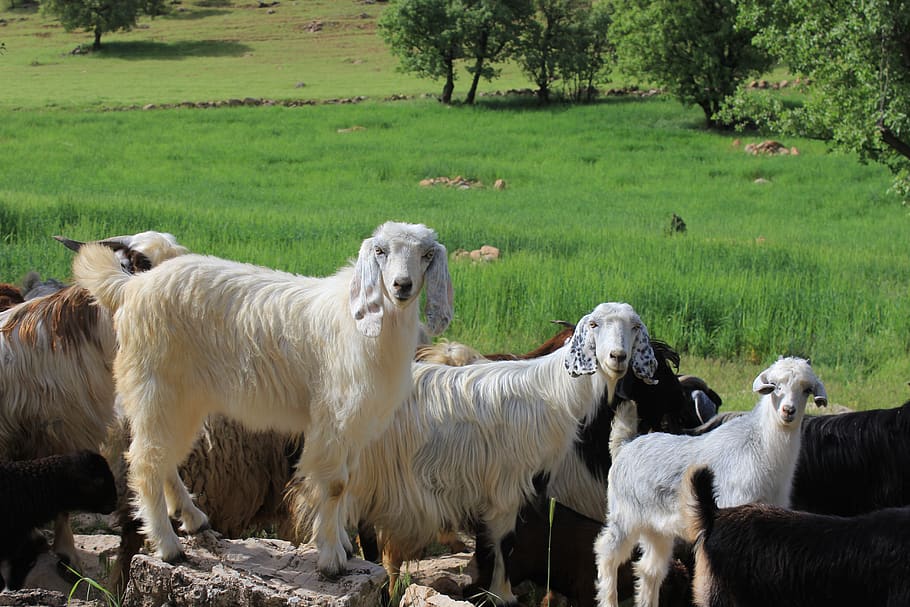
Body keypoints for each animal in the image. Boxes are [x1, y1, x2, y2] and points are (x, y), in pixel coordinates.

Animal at [72, 221, 453, 576]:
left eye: (426, 254)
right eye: (380, 251)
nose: (402, 285)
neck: (363, 324)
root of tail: (132, 287)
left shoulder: (357, 426)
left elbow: (348, 484)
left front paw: (343, 544)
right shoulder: (335, 417)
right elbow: (334, 485)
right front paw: (331, 559)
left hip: (185, 400)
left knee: (164, 458)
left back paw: (193, 517)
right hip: (156, 389)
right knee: (146, 461)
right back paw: (168, 546)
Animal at [304, 302, 660, 604]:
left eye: (634, 327)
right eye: (594, 324)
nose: (617, 357)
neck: (553, 391)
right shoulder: (507, 484)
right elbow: (505, 541)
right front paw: (502, 594)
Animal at [594, 356, 826, 607]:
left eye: (806, 390)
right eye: (774, 386)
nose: (788, 411)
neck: (761, 447)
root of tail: (625, 445)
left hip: (657, 528)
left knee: (649, 569)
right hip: (624, 516)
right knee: (606, 553)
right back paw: (609, 599)